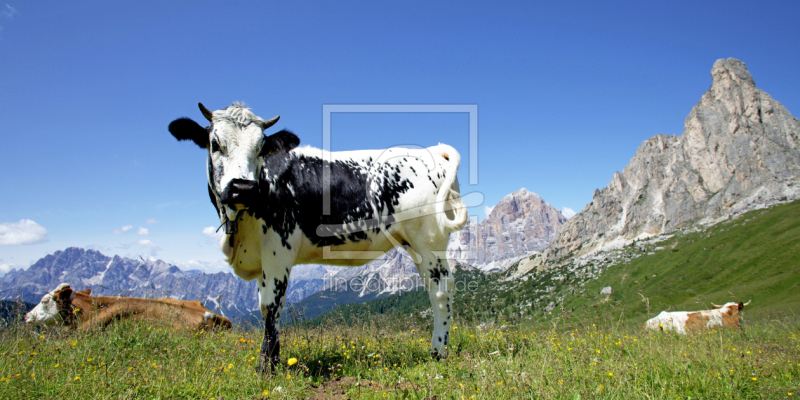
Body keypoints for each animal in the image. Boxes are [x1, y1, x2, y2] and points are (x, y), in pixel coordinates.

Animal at [169, 104, 468, 372]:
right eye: (215, 144)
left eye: (261, 148)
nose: (242, 188)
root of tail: (431, 151)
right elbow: (264, 306)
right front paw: (273, 359)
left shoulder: (279, 249)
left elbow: (270, 307)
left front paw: (267, 367)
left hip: (428, 240)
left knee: (441, 289)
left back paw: (437, 353)